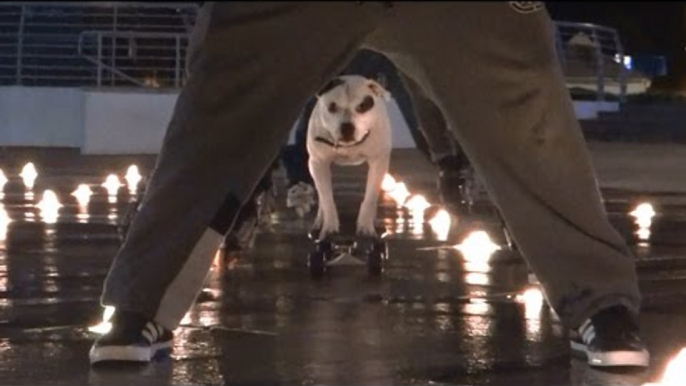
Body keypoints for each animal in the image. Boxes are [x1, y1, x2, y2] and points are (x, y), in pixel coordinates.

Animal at [308, 74, 392, 240]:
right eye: (332, 107)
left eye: (362, 106)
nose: (347, 127)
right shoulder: (318, 163)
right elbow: (327, 198)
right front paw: (330, 227)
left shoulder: (378, 162)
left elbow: (370, 197)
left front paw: (366, 226)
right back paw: (320, 220)